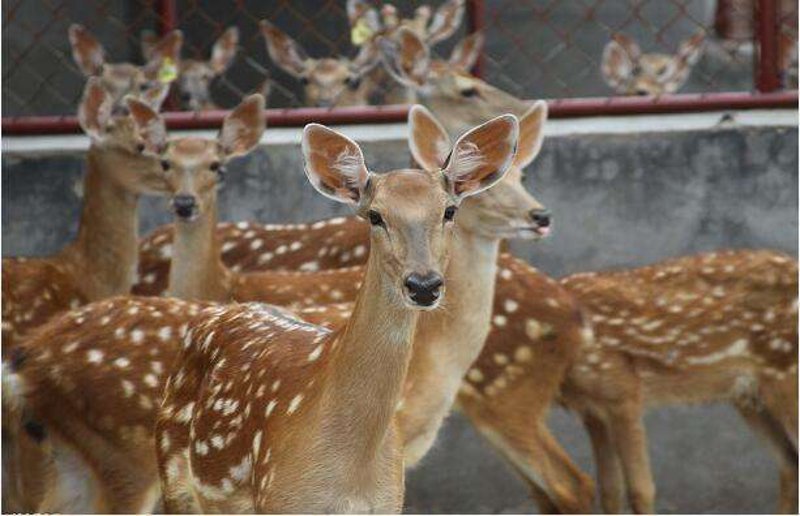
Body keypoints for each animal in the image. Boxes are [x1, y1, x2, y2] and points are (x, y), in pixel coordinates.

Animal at [2, 111, 522, 513]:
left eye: (449, 210)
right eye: (375, 215)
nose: (423, 284)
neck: (350, 471)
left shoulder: (392, 499)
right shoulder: (280, 498)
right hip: (155, 468)